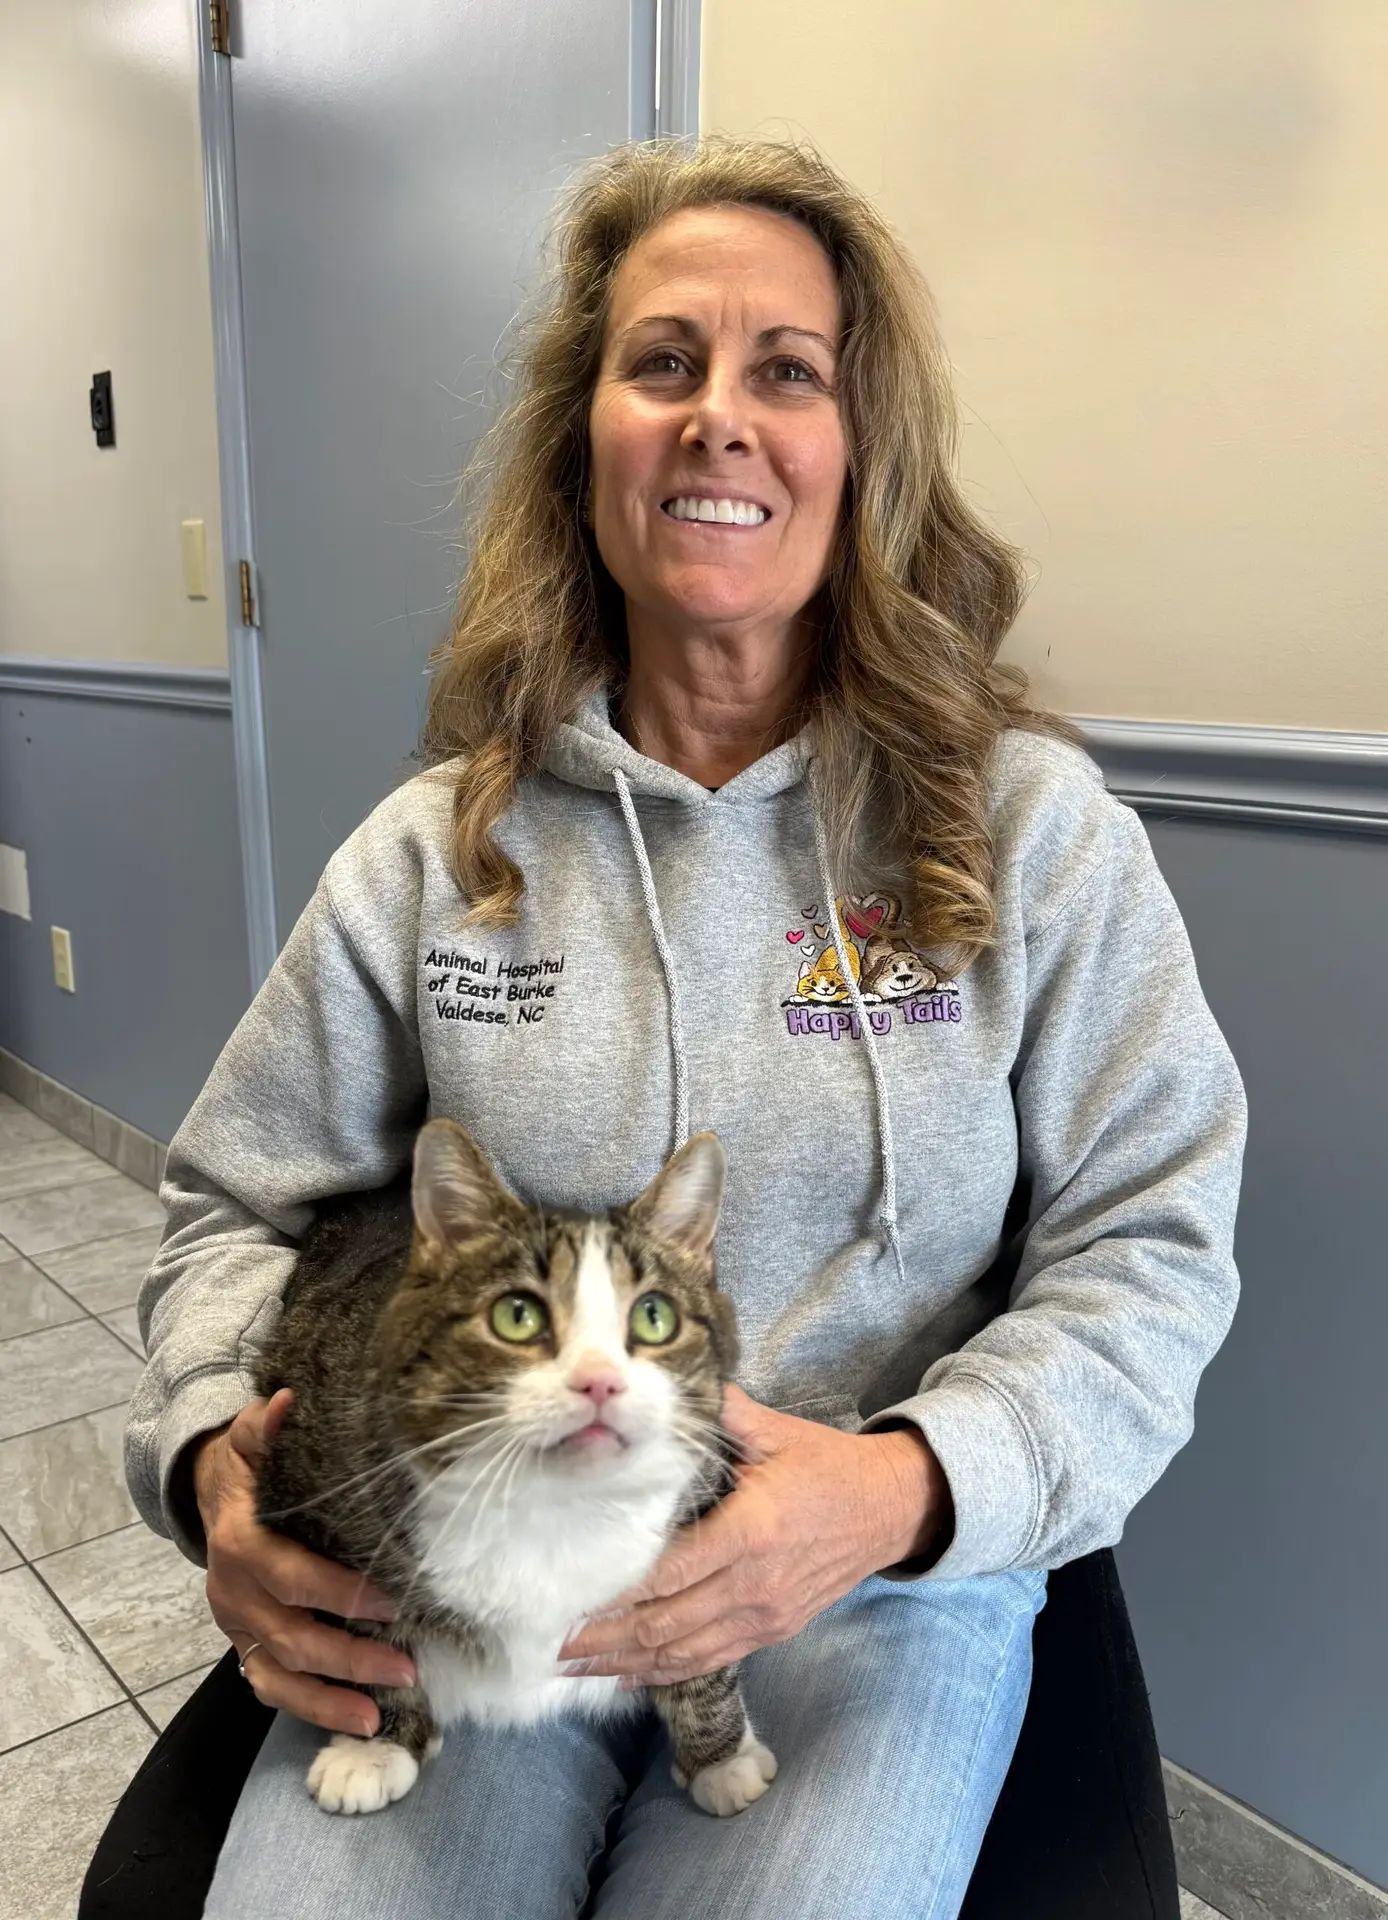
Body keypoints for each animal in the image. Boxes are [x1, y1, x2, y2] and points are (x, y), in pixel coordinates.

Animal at [253, 1121, 777, 1820]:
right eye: (517, 1315)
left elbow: (703, 1650)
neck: (552, 1505)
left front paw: (721, 1757)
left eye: (655, 1316)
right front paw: (374, 1745)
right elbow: (365, 1644)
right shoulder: (311, 1504)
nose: (599, 1381)